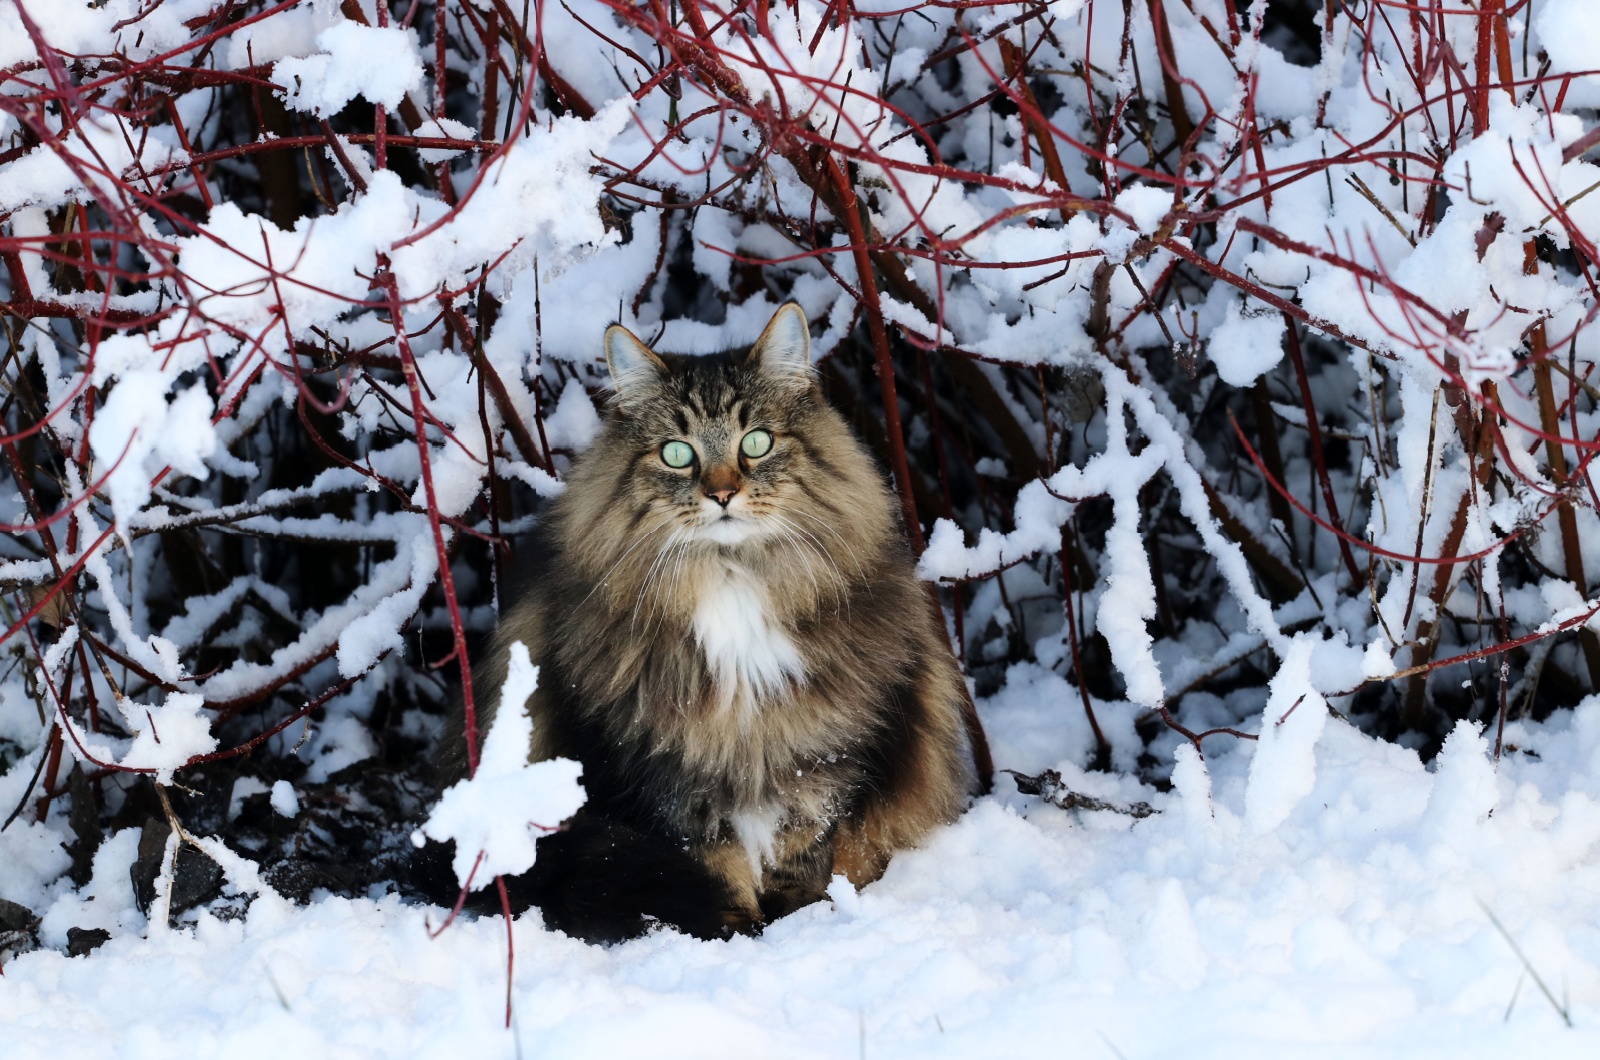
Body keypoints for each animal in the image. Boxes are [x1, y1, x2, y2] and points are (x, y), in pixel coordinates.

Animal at [444, 302, 979, 941]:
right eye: (678, 453)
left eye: (757, 442)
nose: (722, 493)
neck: (732, 582)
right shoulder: (659, 769)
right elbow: (709, 858)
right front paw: (731, 928)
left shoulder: (823, 752)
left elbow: (803, 845)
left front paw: (797, 920)